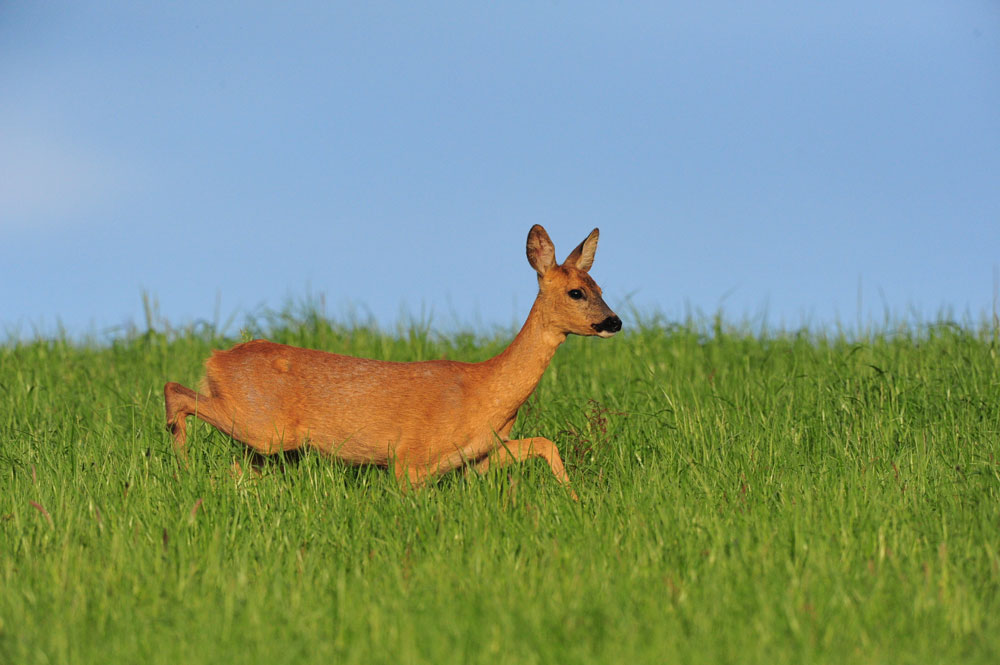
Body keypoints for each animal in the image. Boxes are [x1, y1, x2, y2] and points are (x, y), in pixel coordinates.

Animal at [163, 226, 616, 496]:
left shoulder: (482, 455)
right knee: (176, 392)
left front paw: (573, 496)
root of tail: (216, 360)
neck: (486, 392)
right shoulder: (408, 458)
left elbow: (545, 443)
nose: (615, 321)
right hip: (264, 426)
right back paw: (180, 461)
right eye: (576, 292)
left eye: (600, 286)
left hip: (264, 445)